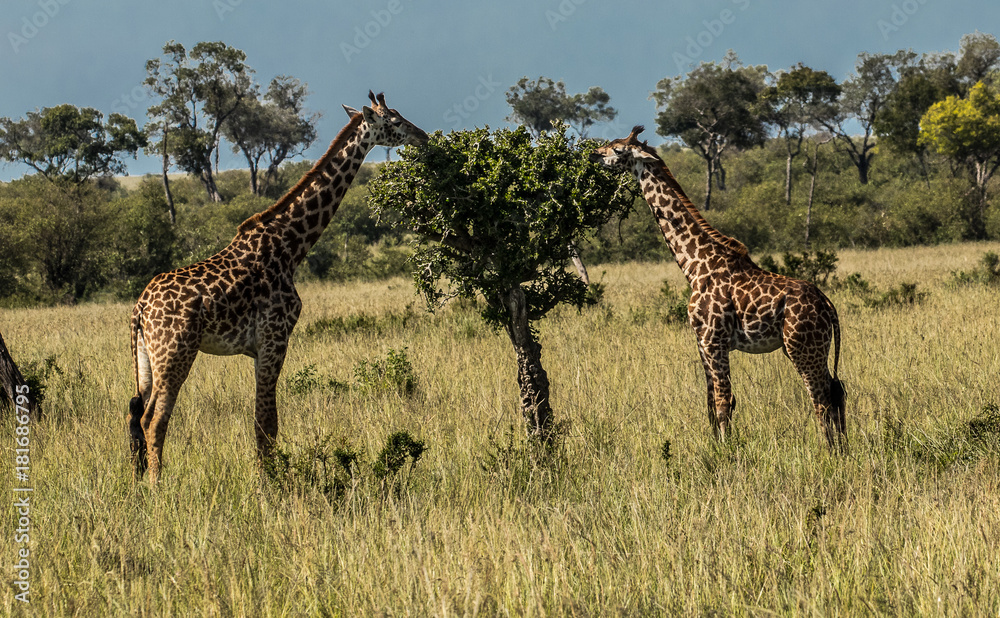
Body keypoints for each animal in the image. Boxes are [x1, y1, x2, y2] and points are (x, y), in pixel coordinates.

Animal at [128, 91, 428, 482]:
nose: (423, 136)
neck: (291, 246)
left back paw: (138, 481)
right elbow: (267, 423)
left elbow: (262, 422)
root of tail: (140, 309)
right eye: (393, 121)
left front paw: (266, 479)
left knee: (135, 415)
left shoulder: (260, 348)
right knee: (154, 419)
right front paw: (269, 484)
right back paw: (157, 485)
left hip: (145, 358)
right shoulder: (275, 338)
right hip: (175, 353)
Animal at [591, 126, 846, 448]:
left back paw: (829, 451)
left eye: (617, 149)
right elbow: (711, 401)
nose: (593, 154)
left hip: (802, 347)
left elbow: (725, 400)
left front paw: (727, 451)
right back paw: (844, 449)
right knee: (837, 390)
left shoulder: (714, 339)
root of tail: (828, 306)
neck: (694, 265)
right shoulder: (700, 340)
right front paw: (715, 447)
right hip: (809, 348)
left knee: (821, 398)